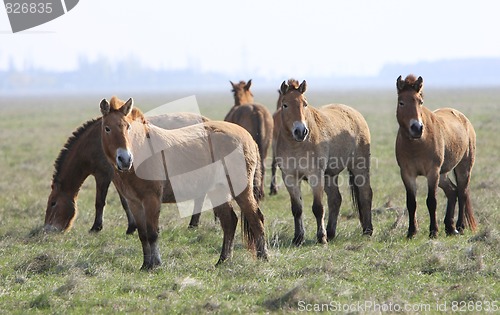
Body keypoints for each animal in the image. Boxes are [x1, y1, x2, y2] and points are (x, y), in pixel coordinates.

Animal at [45, 113, 211, 235]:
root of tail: (205, 121)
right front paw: (132, 227)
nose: (46, 229)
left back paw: (194, 224)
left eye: (53, 203)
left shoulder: (104, 175)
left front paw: (96, 227)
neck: (94, 143)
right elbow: (125, 202)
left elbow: (101, 202)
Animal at [99, 95, 268, 270]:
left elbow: (153, 233)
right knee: (230, 222)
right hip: (218, 191)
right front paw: (145, 265)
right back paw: (222, 260)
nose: (125, 159)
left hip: (241, 190)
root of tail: (248, 137)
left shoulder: (152, 200)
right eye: (107, 128)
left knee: (256, 219)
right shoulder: (135, 203)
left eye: (128, 127)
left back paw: (263, 257)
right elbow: (143, 235)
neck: (141, 150)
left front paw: (156, 264)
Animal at [276, 79, 374, 247]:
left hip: (359, 167)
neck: (297, 145)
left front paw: (321, 237)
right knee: (335, 199)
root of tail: (355, 113)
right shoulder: (290, 178)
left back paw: (367, 230)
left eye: (305, 104)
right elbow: (297, 209)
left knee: (365, 194)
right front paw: (298, 238)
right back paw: (331, 232)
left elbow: (318, 208)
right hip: (329, 175)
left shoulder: (315, 176)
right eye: (285, 104)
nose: (301, 131)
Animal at [394, 74, 476, 238]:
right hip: (442, 174)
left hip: (463, 168)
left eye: (420, 102)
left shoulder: (432, 172)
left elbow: (431, 201)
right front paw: (411, 232)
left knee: (462, 193)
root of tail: (463, 118)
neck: (417, 144)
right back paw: (450, 227)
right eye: (401, 102)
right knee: (452, 191)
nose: (417, 128)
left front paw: (433, 231)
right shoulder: (407, 174)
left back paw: (460, 226)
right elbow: (411, 203)